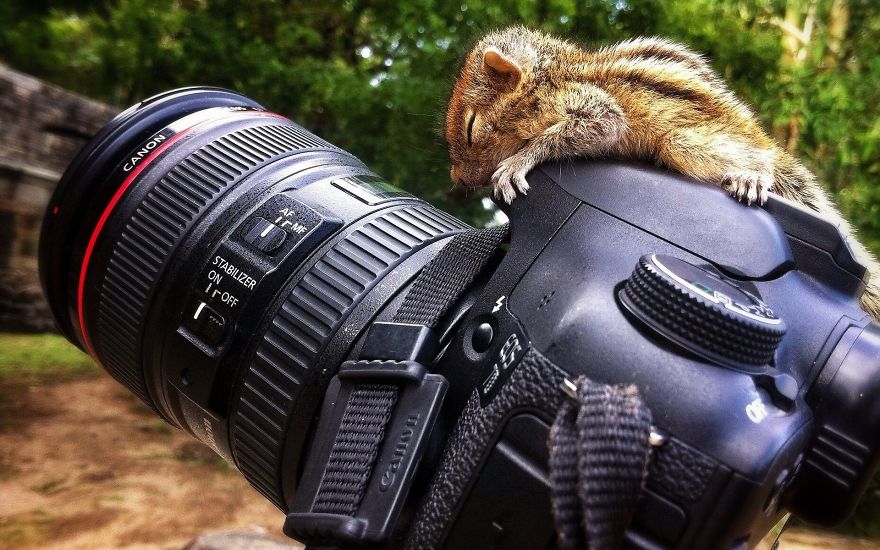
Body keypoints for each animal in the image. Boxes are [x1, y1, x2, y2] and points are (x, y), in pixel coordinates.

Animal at [445, 26, 880, 321]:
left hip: (683, 143)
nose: (458, 180)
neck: (550, 78)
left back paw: (752, 175)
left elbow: (595, 126)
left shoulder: (591, 107)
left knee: (762, 161)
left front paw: (518, 162)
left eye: (470, 127)